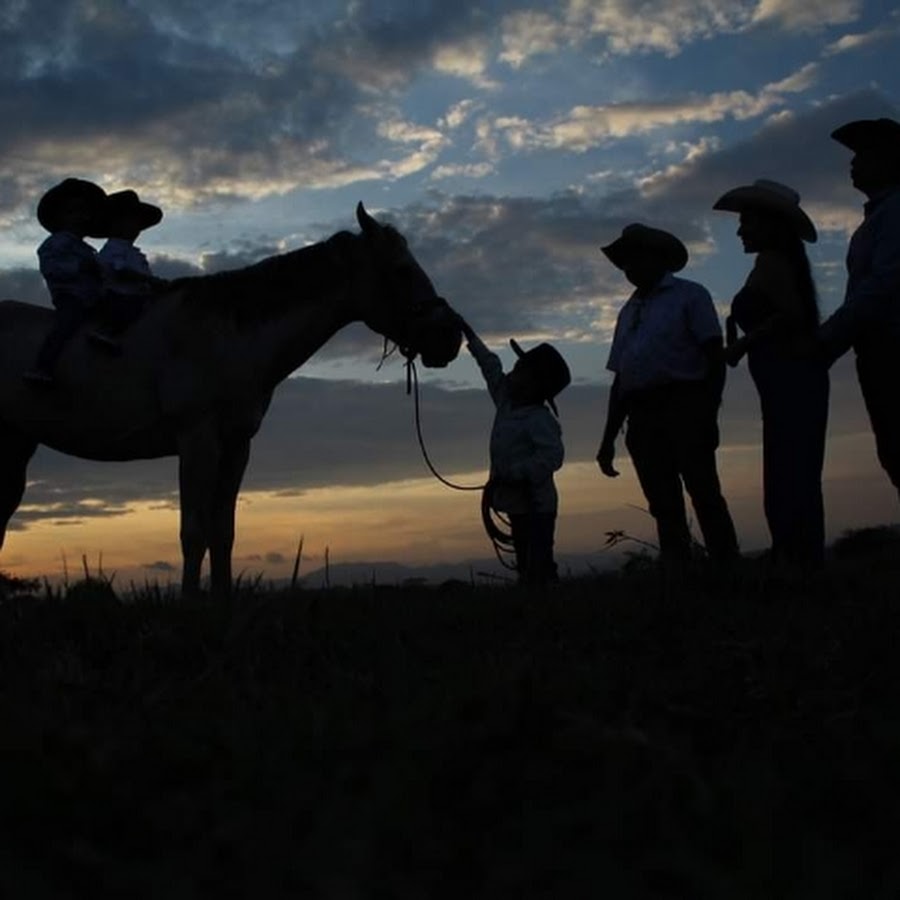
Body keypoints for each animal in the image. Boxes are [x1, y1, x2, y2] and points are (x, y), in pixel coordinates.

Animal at [0, 205, 464, 596]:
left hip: (17, 446)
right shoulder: (197, 439)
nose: (450, 338)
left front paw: (222, 604)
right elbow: (193, 533)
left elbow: (223, 532)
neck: (228, 336)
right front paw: (190, 607)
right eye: (402, 270)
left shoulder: (237, 445)